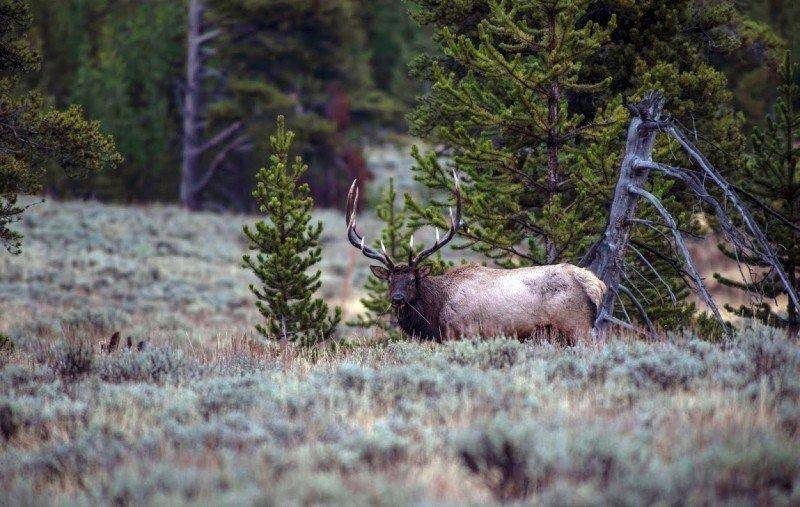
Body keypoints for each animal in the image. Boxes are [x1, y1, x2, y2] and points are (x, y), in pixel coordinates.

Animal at [346, 173, 608, 344]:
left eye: (412, 279)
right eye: (390, 280)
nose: (398, 298)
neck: (436, 312)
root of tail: (597, 285)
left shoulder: (466, 333)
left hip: (576, 326)